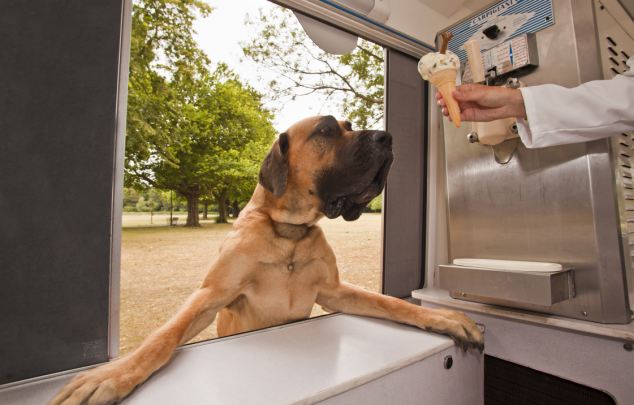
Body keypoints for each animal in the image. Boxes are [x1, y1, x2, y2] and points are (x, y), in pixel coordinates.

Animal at [51, 115, 482, 404]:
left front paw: (444, 318)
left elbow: (390, 303)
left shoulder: (334, 291)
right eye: (326, 130)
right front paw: (112, 376)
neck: (289, 233)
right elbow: (163, 336)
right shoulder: (212, 293)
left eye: (348, 124)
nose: (387, 137)